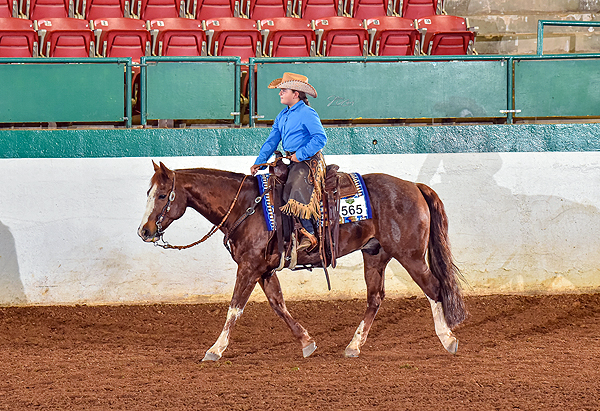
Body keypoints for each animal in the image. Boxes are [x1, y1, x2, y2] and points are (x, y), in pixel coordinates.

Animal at [138, 161, 467, 361]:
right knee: (375, 298)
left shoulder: (248, 267)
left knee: (434, 288)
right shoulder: (263, 269)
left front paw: (215, 350)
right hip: (375, 254)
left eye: (163, 195)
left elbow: (234, 308)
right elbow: (278, 304)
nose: (144, 231)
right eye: (148, 192)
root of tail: (414, 186)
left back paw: (448, 340)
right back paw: (353, 346)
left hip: (410, 255)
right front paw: (307, 342)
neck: (246, 206)